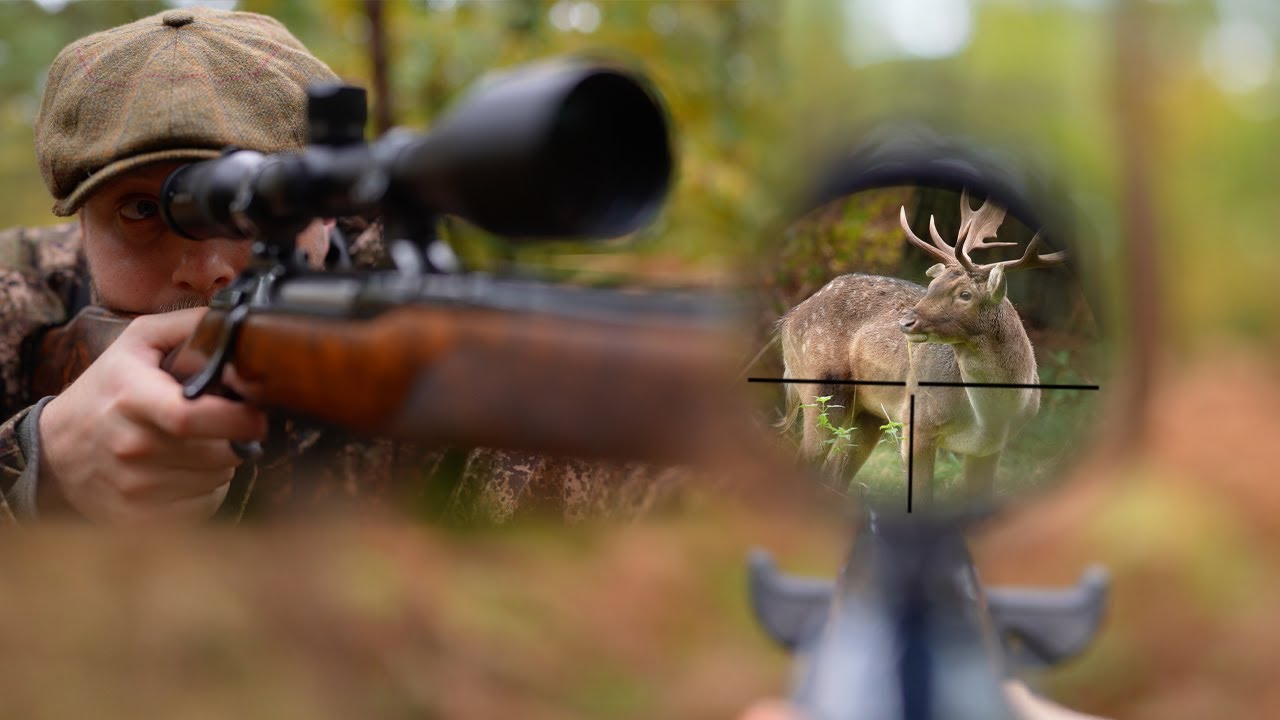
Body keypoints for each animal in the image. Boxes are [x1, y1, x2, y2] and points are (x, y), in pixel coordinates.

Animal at [777, 190, 1066, 509]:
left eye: (965, 294)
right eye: (932, 285)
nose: (906, 321)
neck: (989, 418)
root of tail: (788, 319)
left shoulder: (989, 449)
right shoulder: (918, 422)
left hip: (868, 414)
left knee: (835, 475)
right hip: (821, 389)